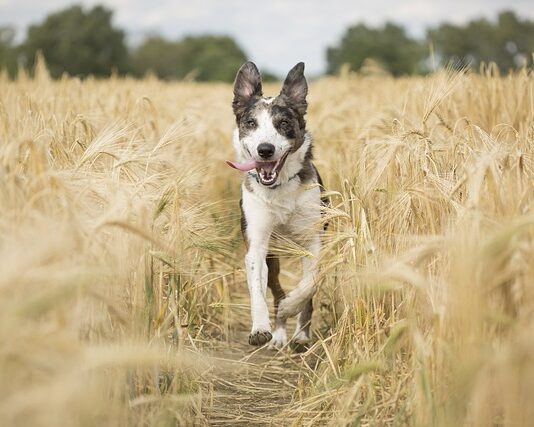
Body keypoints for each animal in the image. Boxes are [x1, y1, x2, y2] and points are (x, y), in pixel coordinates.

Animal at [227, 62, 326, 352]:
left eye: (283, 123)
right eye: (251, 123)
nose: (265, 150)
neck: (279, 188)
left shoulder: (313, 241)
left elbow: (309, 285)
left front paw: (291, 308)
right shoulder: (257, 244)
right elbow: (257, 289)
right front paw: (261, 328)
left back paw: (300, 334)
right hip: (274, 256)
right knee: (274, 288)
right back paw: (279, 334)